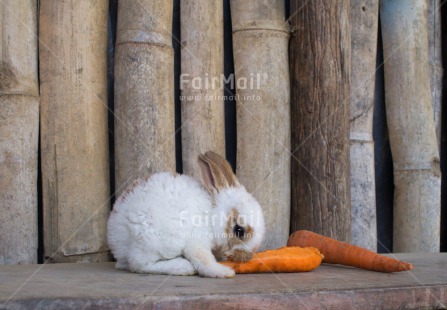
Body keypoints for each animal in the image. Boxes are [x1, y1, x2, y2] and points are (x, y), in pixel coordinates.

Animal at [106, 151, 264, 278]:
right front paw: (224, 272)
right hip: (158, 242)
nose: (247, 257)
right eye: (239, 231)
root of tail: (115, 241)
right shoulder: (197, 241)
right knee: (139, 264)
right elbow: (203, 259)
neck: (212, 215)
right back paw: (183, 267)